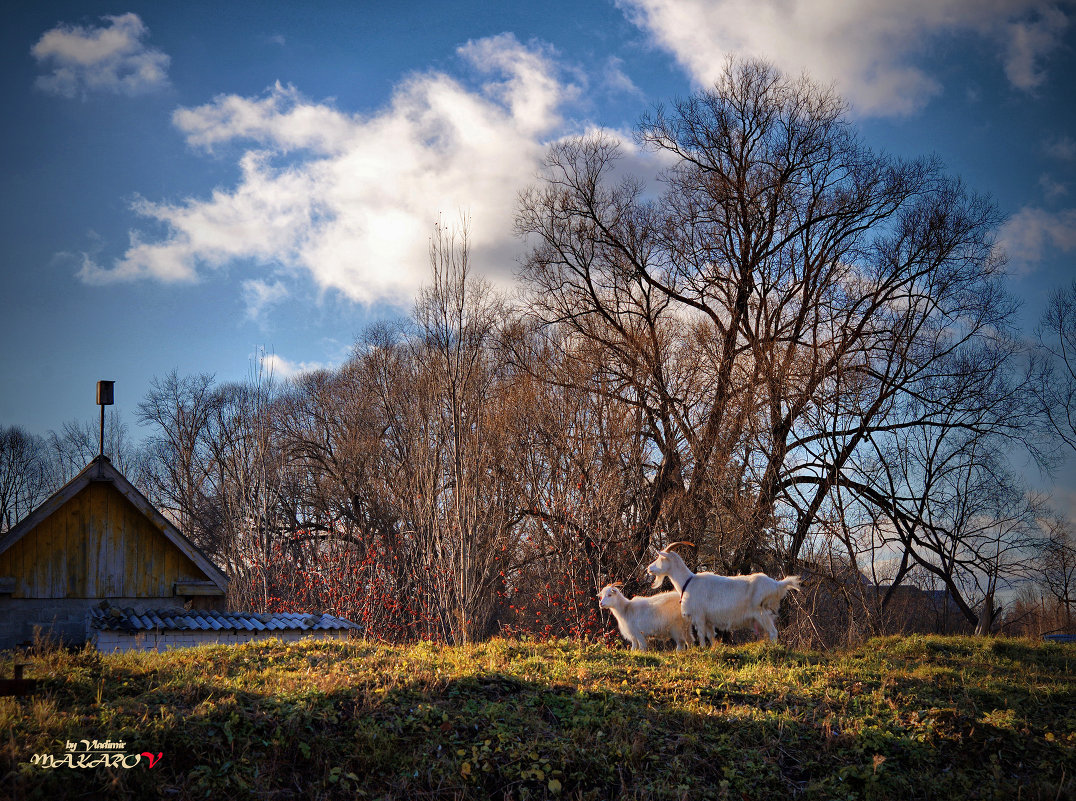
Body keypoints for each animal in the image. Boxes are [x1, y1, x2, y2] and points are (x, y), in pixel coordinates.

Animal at [641, 540, 804, 645]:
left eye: (661, 557)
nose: (648, 568)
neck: (688, 582)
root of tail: (777, 584)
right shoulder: (709, 620)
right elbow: (711, 637)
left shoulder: (699, 616)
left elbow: (701, 636)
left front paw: (703, 651)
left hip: (762, 613)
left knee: (773, 632)